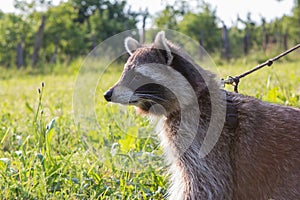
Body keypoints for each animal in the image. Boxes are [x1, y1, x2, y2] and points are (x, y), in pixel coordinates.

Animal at [103, 31, 300, 200]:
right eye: (124, 73)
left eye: (136, 77)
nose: (107, 94)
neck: (194, 98)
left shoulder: (204, 141)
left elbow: (207, 185)